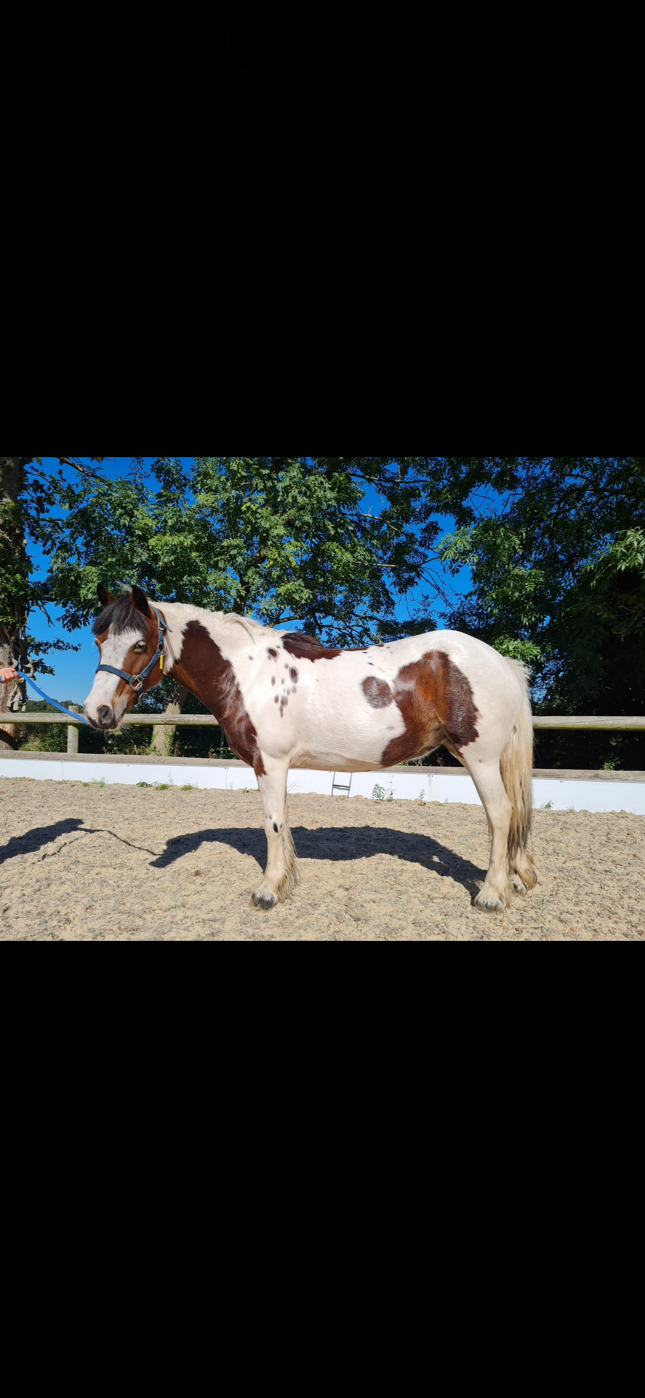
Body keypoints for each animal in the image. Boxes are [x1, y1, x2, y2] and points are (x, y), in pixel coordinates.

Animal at [84, 585, 538, 913]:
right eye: (100, 641)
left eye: (140, 645)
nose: (97, 712)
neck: (249, 673)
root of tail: (502, 661)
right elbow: (281, 823)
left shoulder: (270, 763)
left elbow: (273, 823)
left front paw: (268, 891)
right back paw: (517, 878)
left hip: (479, 757)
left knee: (501, 814)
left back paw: (491, 895)